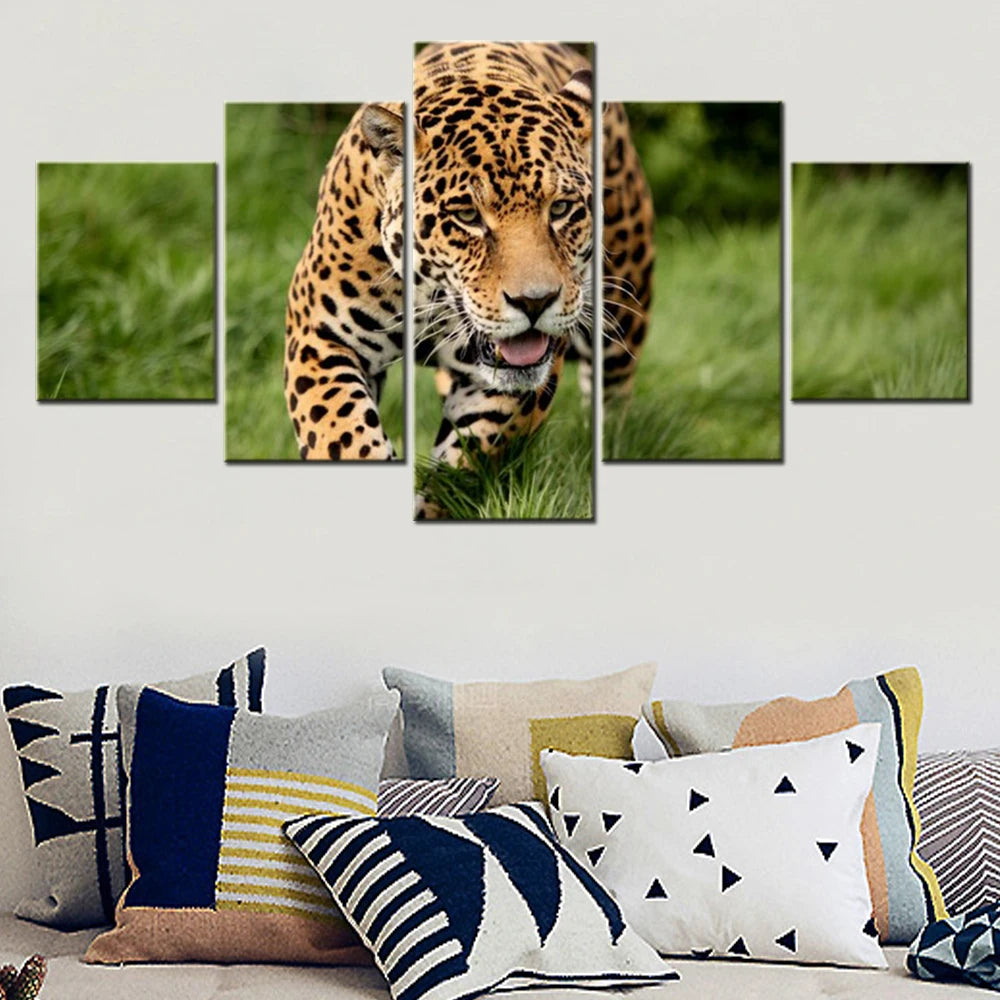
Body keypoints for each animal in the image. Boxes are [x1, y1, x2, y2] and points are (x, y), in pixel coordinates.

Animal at [283, 43, 655, 512]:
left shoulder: (512, 386)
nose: (535, 302)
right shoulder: (319, 334)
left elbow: (462, 463)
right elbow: (342, 434)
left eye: (560, 208)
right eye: (467, 216)